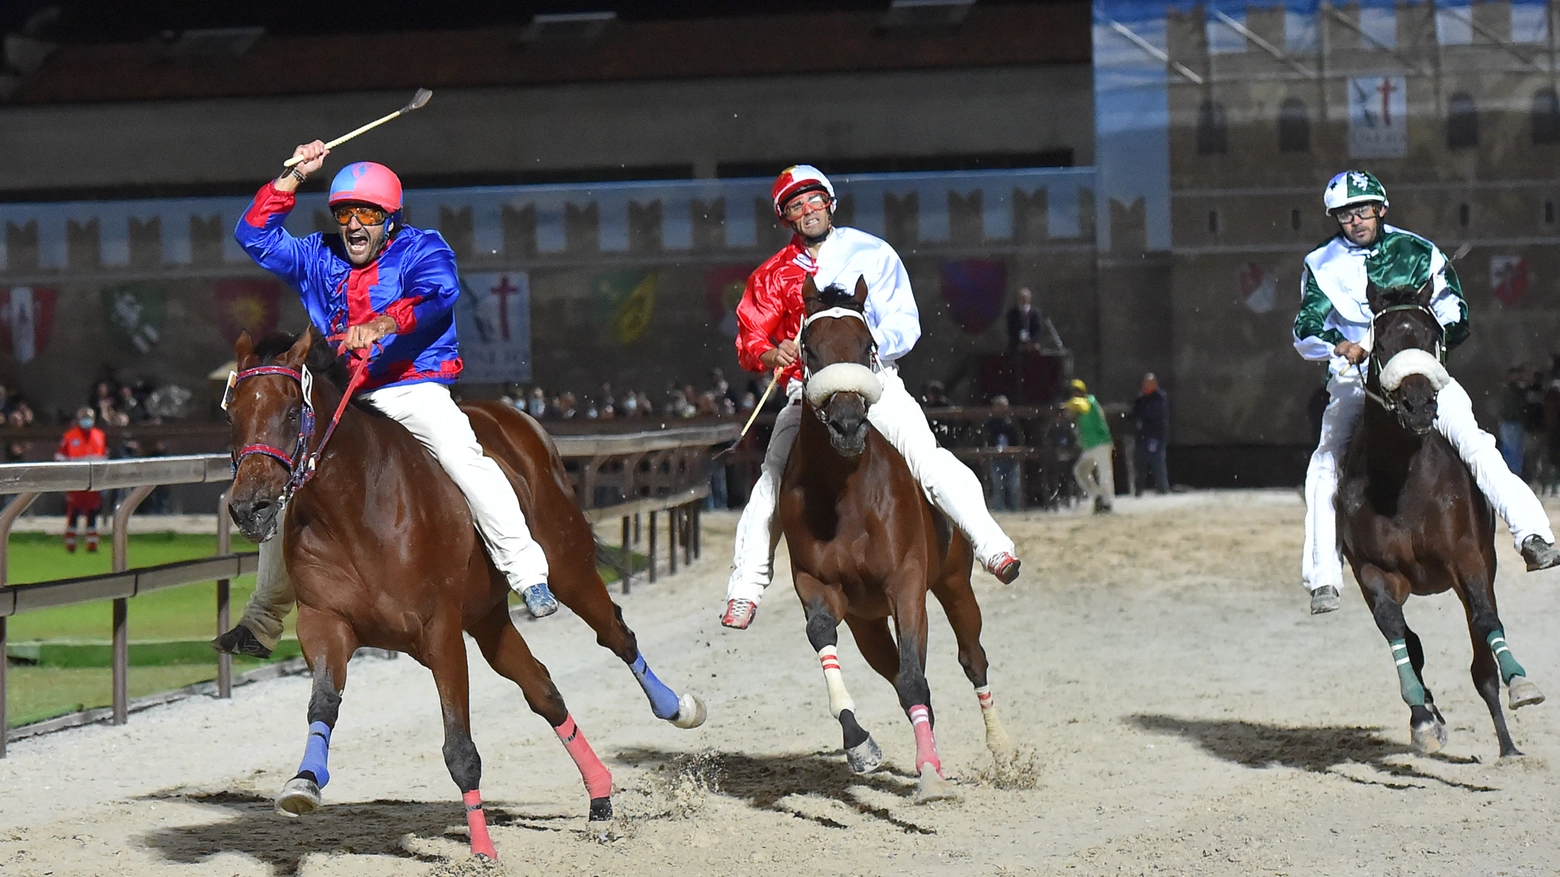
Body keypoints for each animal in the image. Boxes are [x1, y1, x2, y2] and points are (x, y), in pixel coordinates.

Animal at [224, 327, 708, 855]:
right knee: (544, 690)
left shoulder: (441, 632)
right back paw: (600, 797)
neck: (357, 509)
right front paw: (305, 782)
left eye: (292, 411)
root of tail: (518, 420)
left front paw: (482, 851)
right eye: (233, 414)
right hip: (489, 618)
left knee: (616, 634)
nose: (249, 507)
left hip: (569, 567)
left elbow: (460, 746)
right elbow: (324, 702)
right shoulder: (326, 622)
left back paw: (677, 707)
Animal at [776, 274, 1010, 798]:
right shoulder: (816, 583)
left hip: (953, 583)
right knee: (897, 672)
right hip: (867, 622)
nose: (847, 424)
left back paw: (1002, 752)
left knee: (972, 658)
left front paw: (931, 775)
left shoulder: (906, 581)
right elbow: (823, 635)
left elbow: (916, 676)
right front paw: (859, 744)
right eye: (809, 348)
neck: (842, 496)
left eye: (868, 345)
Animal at [1335, 279, 1541, 758]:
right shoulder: (1374, 570)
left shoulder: (1466, 556)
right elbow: (1397, 631)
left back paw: (1508, 745)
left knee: (1482, 652)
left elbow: (1485, 620)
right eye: (1381, 341)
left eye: (1432, 336)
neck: (1400, 485)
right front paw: (1423, 718)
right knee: (1411, 641)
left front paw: (1520, 684)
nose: (1418, 405)